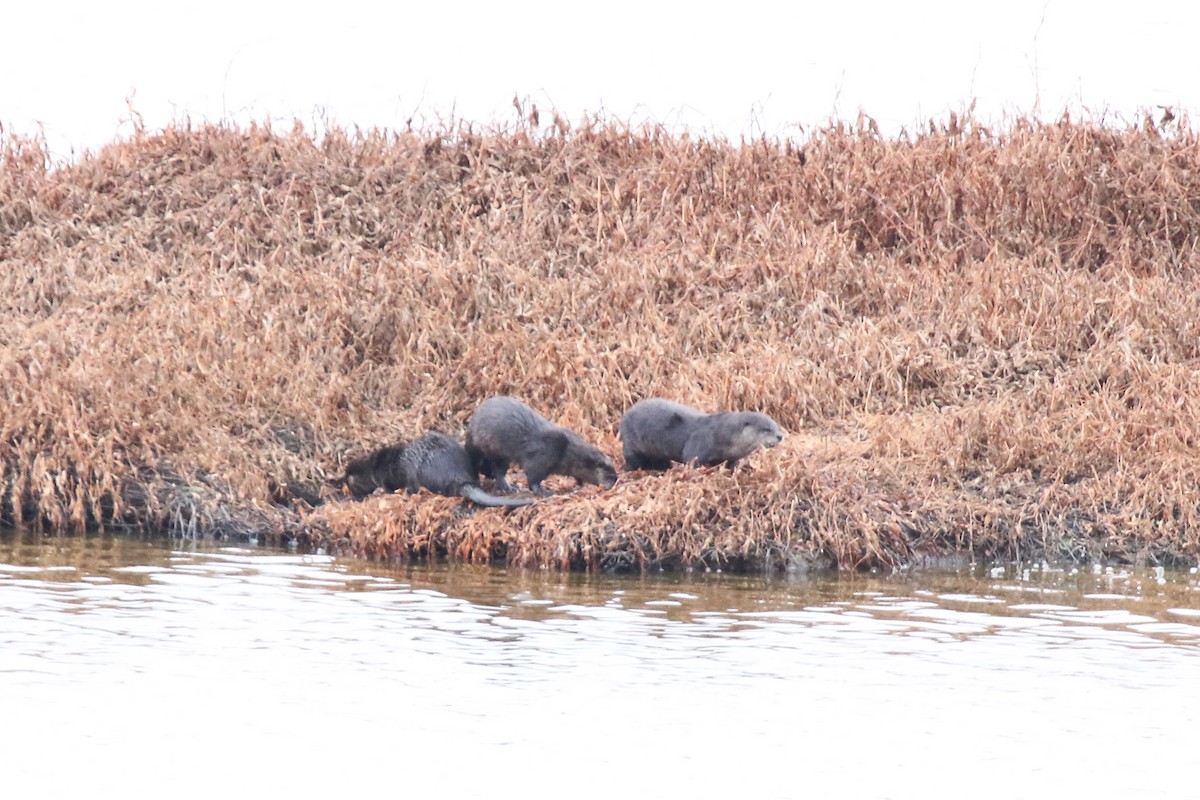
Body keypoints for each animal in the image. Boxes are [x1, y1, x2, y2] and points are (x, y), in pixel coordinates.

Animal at [338, 431, 533, 508]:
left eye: (350, 483)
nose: (353, 496)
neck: (375, 466)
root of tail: (461, 479)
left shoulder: (384, 478)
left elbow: (387, 488)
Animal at [464, 396, 618, 496]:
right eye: (609, 472)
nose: (615, 480)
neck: (568, 453)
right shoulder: (543, 456)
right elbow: (533, 478)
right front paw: (544, 492)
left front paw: (579, 484)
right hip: (492, 448)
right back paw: (508, 487)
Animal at [619, 398, 784, 471]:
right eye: (766, 428)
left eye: (776, 426)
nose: (780, 436)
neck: (723, 435)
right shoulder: (699, 444)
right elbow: (691, 460)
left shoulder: (732, 456)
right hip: (630, 444)